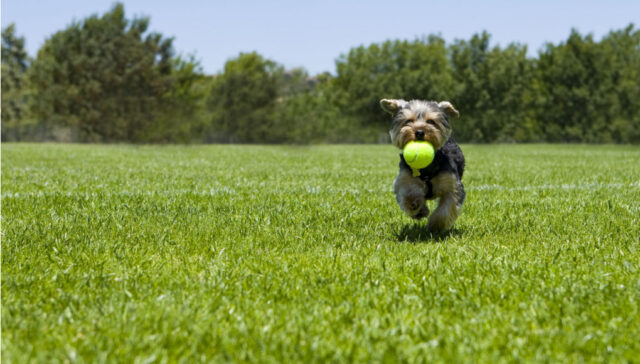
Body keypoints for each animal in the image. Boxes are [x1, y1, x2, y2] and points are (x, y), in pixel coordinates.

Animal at [380, 98, 464, 232]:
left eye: (431, 121)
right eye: (409, 120)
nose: (419, 132)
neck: (427, 168)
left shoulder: (452, 184)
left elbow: (447, 208)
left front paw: (435, 226)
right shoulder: (405, 177)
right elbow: (408, 192)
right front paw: (416, 206)